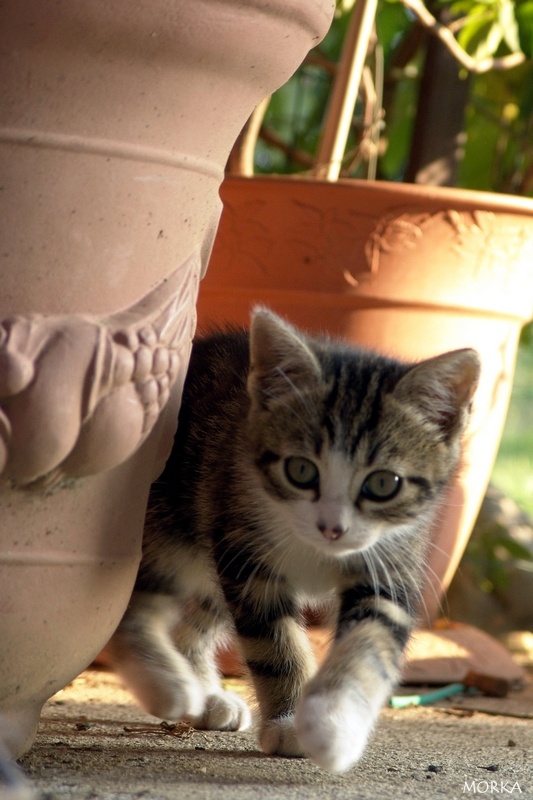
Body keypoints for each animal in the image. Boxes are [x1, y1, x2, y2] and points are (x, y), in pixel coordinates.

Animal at [106, 310, 480, 772]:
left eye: (383, 484)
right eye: (301, 470)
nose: (332, 528)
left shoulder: (390, 562)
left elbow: (369, 643)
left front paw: (334, 725)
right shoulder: (247, 554)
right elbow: (274, 642)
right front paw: (289, 722)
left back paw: (204, 695)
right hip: (173, 521)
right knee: (128, 607)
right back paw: (167, 685)